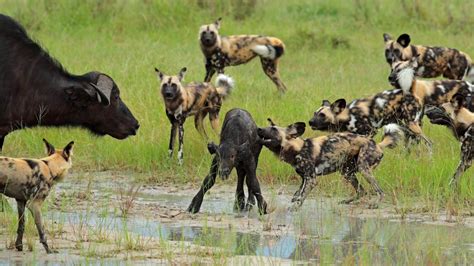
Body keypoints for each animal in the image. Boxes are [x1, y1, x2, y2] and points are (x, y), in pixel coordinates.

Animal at [258, 120, 402, 210]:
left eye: (273, 129)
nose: (258, 128)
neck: (298, 149)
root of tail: (377, 144)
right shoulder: (304, 178)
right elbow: (298, 193)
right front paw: (295, 200)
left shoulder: (311, 179)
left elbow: (302, 196)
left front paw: (295, 207)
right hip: (346, 172)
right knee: (362, 191)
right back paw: (346, 201)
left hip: (363, 168)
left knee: (379, 191)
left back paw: (375, 204)